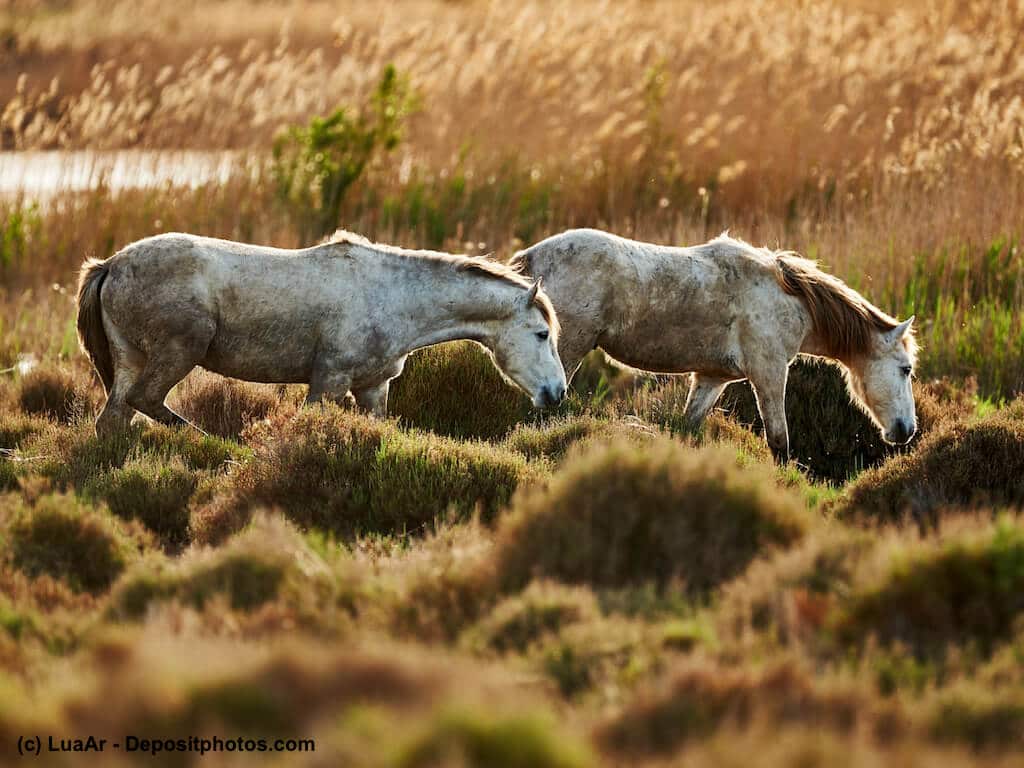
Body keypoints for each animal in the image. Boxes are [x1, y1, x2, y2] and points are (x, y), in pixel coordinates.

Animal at [77, 230, 567, 436]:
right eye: (542, 334)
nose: (557, 392)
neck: (393, 295)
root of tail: (111, 264)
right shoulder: (329, 381)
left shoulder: (372, 386)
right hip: (179, 351)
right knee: (147, 401)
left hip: (131, 359)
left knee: (114, 418)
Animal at [511, 229, 917, 461]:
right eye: (906, 369)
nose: (907, 429)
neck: (788, 298)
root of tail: (529, 258)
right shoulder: (769, 374)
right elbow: (779, 443)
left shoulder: (711, 378)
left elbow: (687, 428)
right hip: (566, 353)